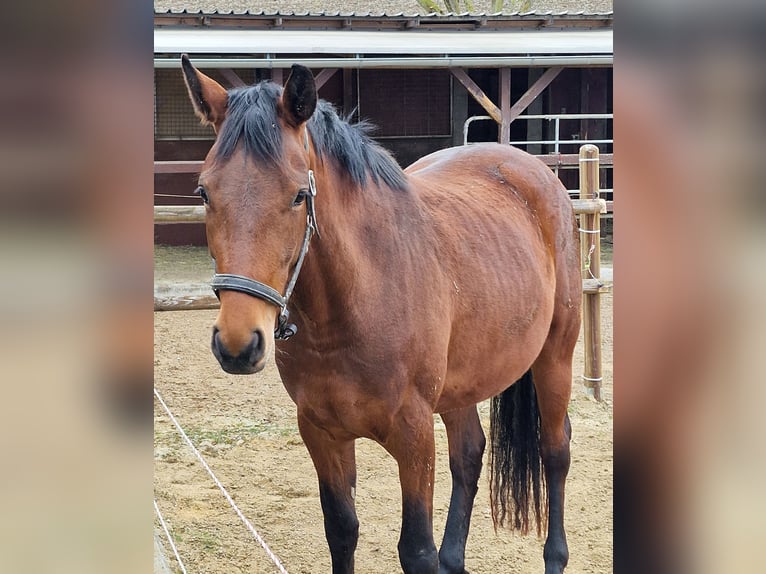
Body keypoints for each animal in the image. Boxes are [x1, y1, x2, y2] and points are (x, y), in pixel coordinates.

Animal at [183, 55, 584, 574]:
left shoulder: (414, 437)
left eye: (298, 195)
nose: (238, 342)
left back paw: (554, 554)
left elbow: (416, 550)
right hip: (463, 382)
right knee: (469, 455)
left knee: (555, 450)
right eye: (204, 192)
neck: (352, 305)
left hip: (555, 358)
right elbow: (342, 531)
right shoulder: (322, 433)